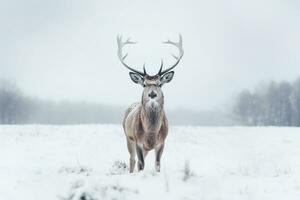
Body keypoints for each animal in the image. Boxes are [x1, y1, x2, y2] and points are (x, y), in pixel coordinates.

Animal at [116, 34, 183, 172]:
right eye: (144, 84)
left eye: (159, 84)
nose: (152, 94)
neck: (151, 133)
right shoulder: (138, 141)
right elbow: (141, 164)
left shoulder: (162, 143)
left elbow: (157, 164)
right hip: (128, 137)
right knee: (132, 160)